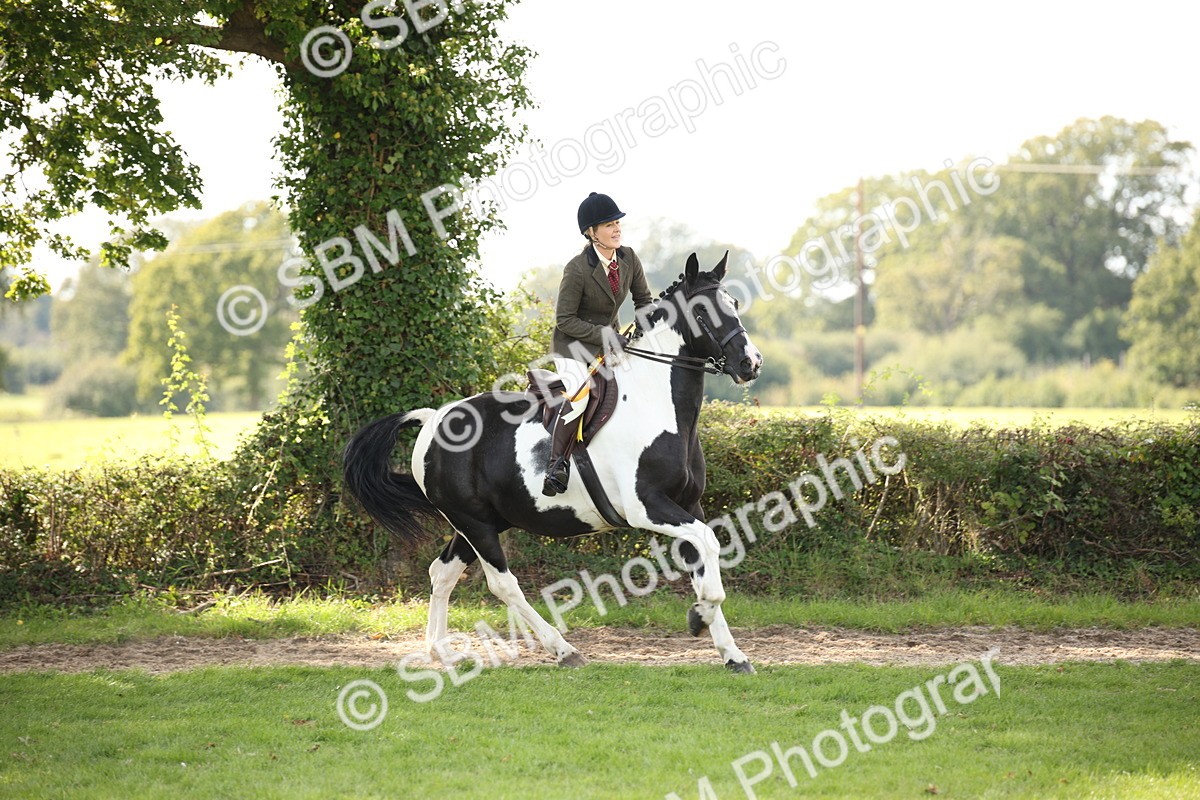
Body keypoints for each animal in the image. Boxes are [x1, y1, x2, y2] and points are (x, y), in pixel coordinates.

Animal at [342, 252, 764, 672]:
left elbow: (703, 557)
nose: (751, 363)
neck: (656, 405)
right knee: (503, 584)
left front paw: (730, 652)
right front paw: (700, 614)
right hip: (474, 522)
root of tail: (433, 419)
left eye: (734, 303)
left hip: (482, 521)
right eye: (702, 310)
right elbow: (708, 544)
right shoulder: (646, 507)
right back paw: (562, 649)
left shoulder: (687, 504)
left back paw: (441, 652)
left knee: (442, 573)